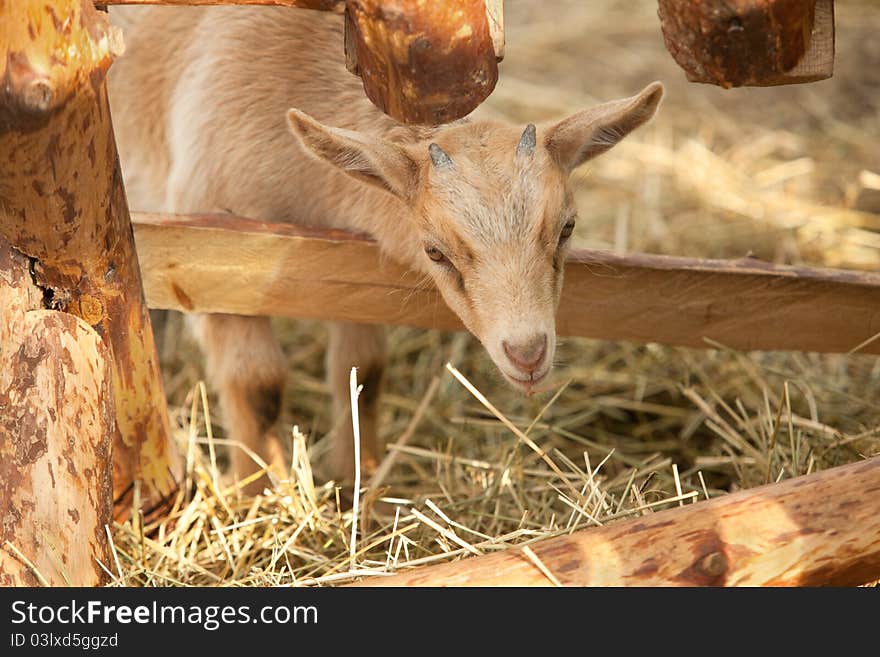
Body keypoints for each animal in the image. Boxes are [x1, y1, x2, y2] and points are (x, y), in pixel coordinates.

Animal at [108, 5, 660, 486]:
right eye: (435, 251)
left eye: (567, 227)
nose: (527, 354)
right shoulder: (212, 259)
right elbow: (257, 384)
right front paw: (257, 492)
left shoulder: (353, 269)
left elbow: (362, 374)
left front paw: (360, 475)